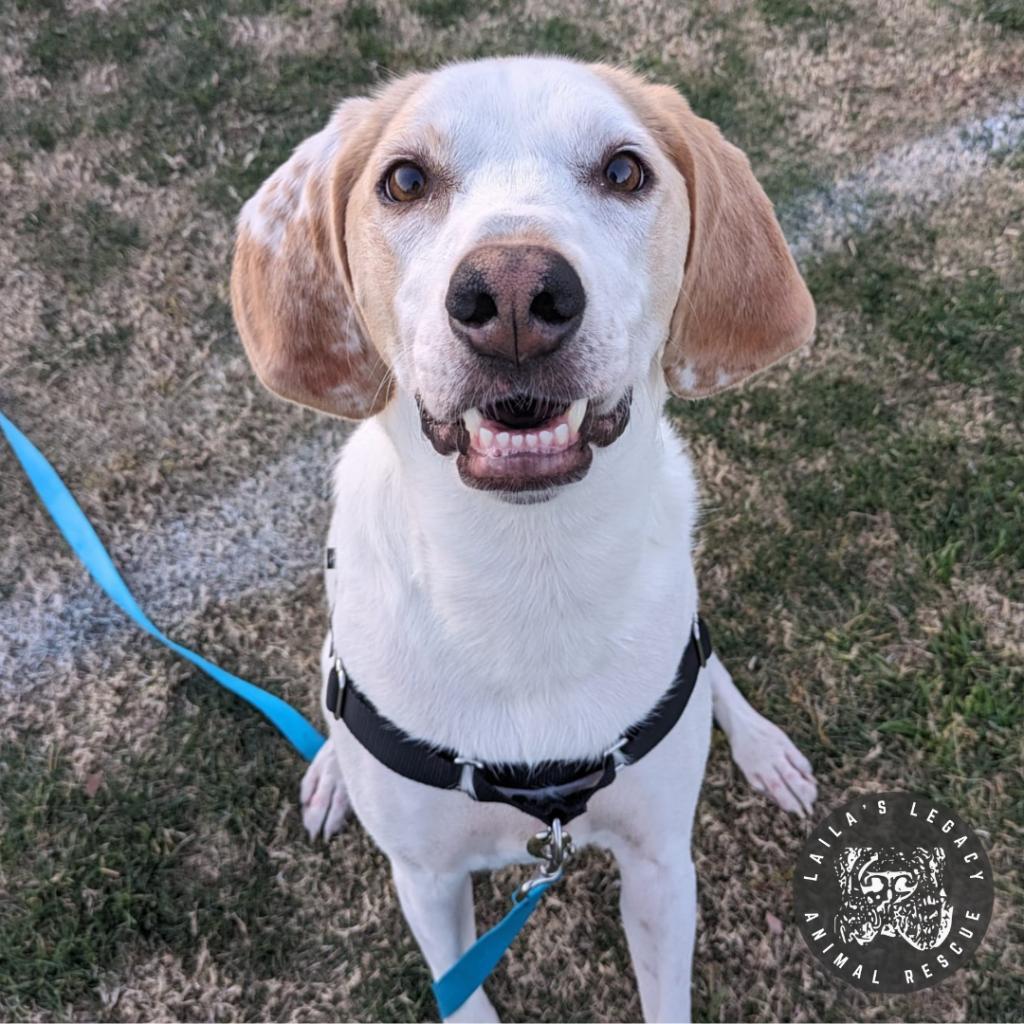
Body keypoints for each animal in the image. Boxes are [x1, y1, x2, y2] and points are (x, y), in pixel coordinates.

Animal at [230, 58, 815, 1024]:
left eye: (624, 170)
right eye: (404, 180)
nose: (511, 294)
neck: (528, 574)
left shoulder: (661, 865)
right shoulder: (427, 880)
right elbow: (461, 996)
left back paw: (765, 748)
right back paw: (330, 774)